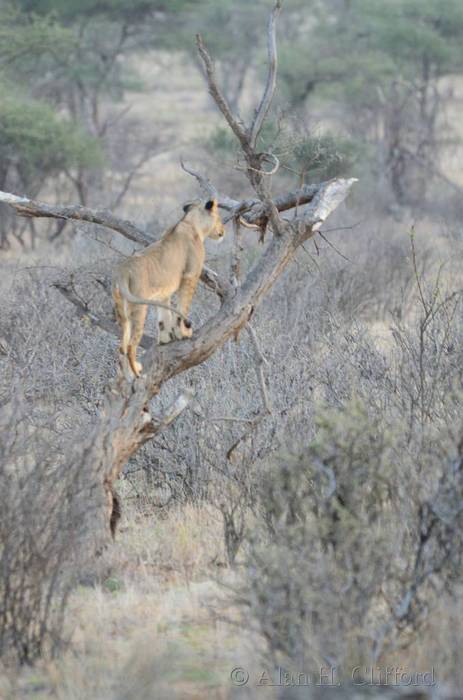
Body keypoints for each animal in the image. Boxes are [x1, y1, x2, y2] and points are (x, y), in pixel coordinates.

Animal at [112, 197, 225, 378]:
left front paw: (166, 338)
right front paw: (183, 333)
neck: (190, 222)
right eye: (220, 218)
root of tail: (122, 272)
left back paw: (129, 375)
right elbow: (183, 307)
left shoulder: (163, 292)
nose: (223, 231)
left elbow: (164, 316)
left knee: (121, 346)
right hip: (138, 307)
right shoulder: (190, 276)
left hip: (121, 309)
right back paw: (137, 373)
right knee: (130, 345)